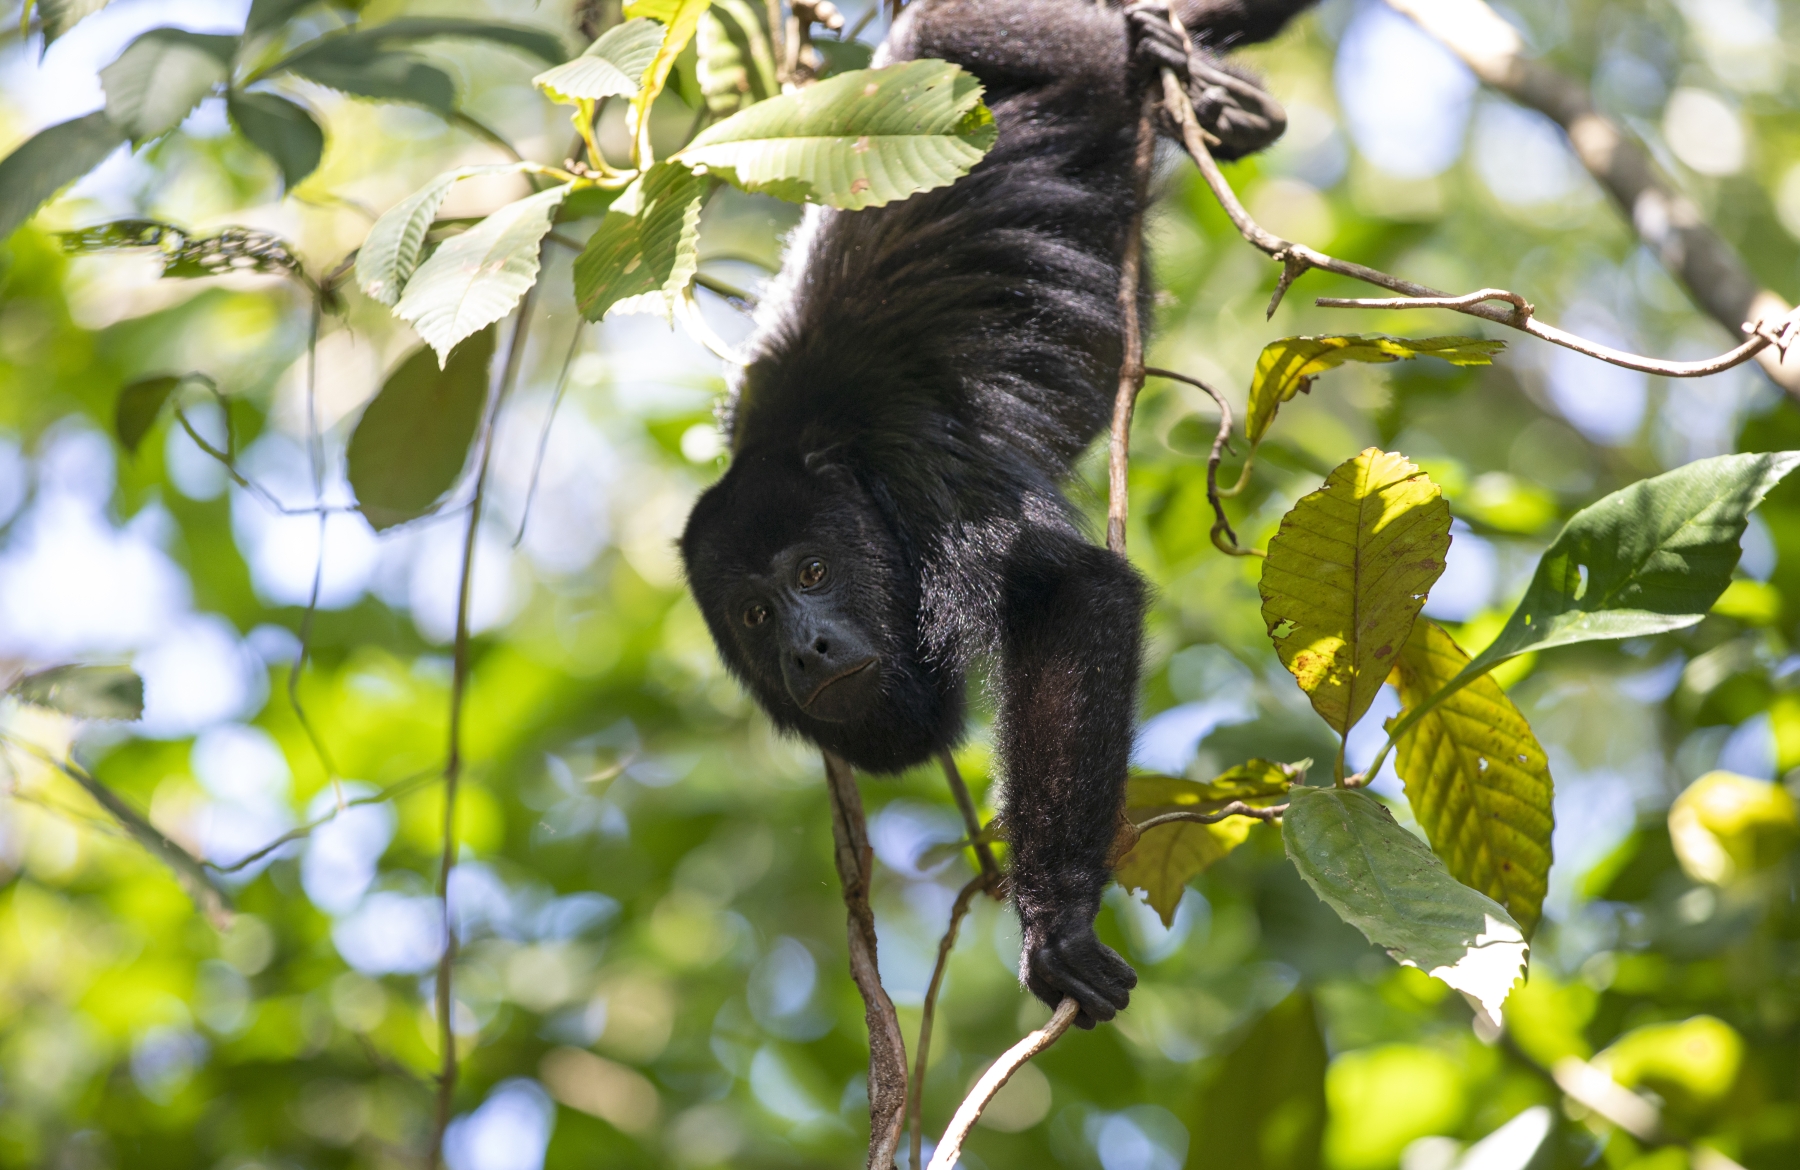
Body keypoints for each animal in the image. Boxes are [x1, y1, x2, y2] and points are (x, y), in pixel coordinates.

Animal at [680, 0, 1314, 1028]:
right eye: (755, 614)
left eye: (812, 572)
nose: (805, 647)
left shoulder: (928, 473)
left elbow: (1068, 594)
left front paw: (1053, 922)